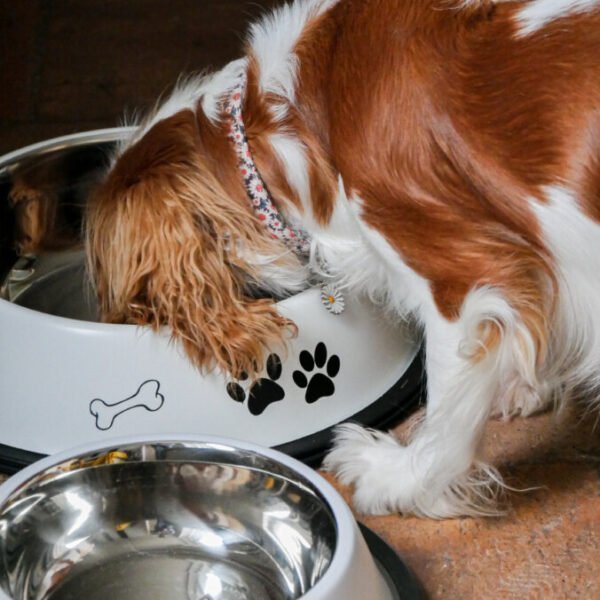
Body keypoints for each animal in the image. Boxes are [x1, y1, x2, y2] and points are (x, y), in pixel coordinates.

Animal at [84, 0, 600, 516]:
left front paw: (395, 479)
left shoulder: (463, 277)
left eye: (130, 302)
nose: (109, 323)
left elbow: (446, 412)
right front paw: (524, 383)